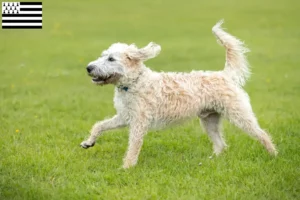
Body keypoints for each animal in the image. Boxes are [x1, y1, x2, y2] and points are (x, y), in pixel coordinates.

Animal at [79, 20, 276, 168]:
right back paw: (212, 160)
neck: (133, 83)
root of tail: (224, 74)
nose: (89, 68)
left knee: (262, 134)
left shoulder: (139, 123)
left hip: (239, 115)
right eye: (103, 55)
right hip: (209, 120)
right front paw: (89, 142)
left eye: (111, 58)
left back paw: (273, 155)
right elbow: (99, 126)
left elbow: (133, 147)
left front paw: (126, 167)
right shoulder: (124, 117)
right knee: (221, 144)